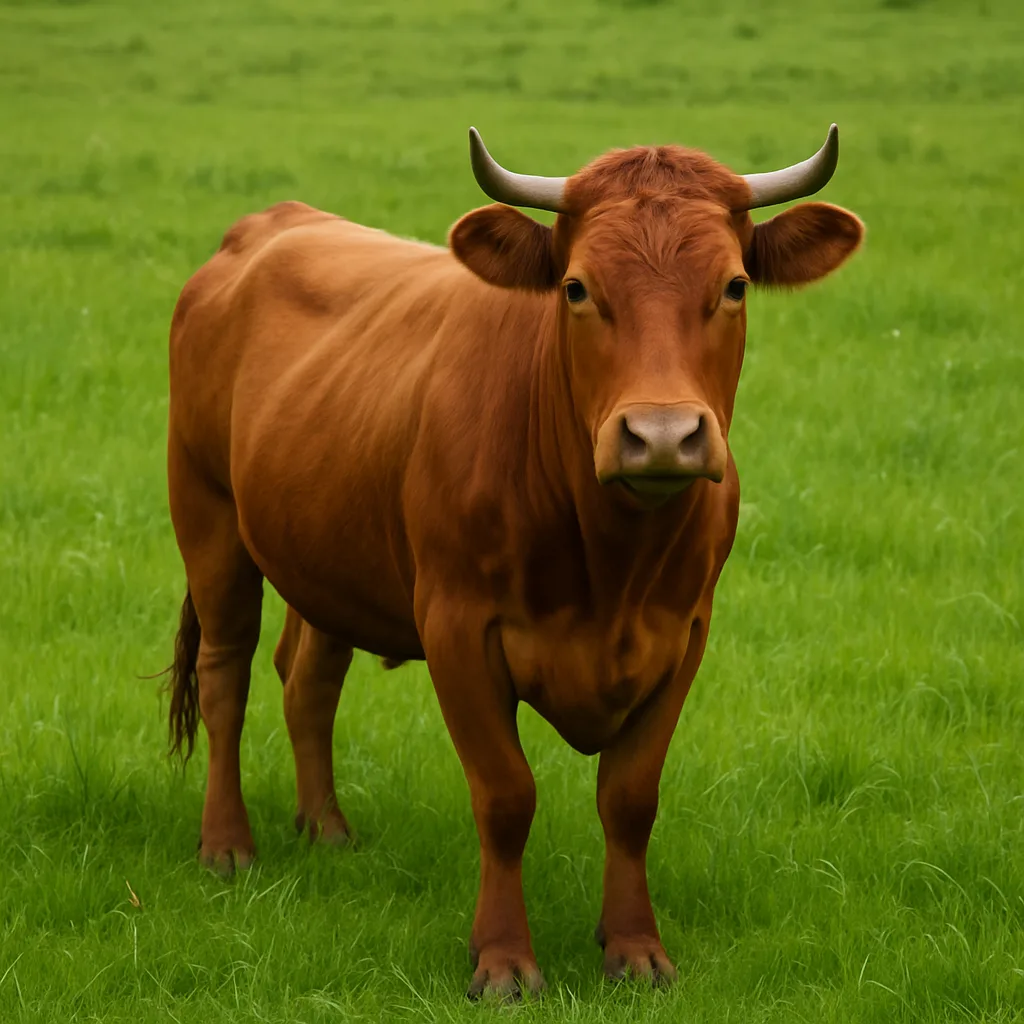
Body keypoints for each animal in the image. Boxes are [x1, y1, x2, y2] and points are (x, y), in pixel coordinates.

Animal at [164, 125, 863, 998]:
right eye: (575, 288)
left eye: (734, 285)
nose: (662, 435)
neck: (613, 563)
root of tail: (268, 225)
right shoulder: (457, 628)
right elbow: (505, 796)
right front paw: (501, 959)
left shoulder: (684, 634)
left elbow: (630, 799)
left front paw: (634, 948)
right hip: (209, 518)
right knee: (227, 675)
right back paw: (227, 845)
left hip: (325, 550)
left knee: (310, 683)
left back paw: (326, 829)